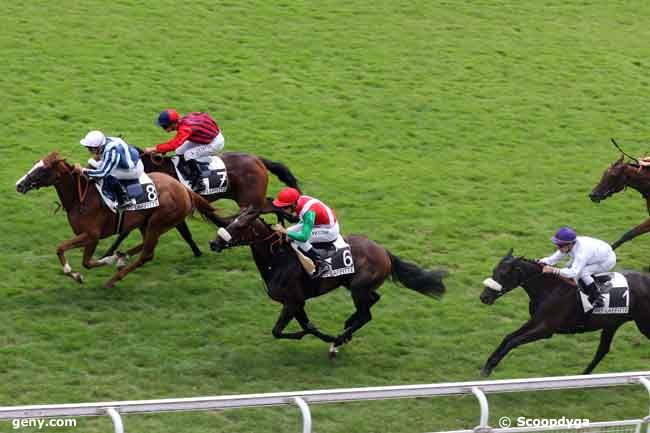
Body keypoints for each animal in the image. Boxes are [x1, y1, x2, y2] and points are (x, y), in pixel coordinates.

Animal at [15, 151, 228, 286]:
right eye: (35, 164)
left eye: (42, 170)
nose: (19, 184)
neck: (80, 198)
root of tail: (183, 188)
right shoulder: (87, 236)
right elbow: (64, 251)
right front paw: (81, 272)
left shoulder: (92, 235)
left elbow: (82, 260)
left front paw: (85, 271)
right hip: (146, 222)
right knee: (145, 245)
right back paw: (121, 257)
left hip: (158, 221)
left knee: (147, 254)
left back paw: (113, 279)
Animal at [102, 148, 302, 258]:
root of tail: (257, 159)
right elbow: (125, 232)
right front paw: (109, 253)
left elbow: (185, 233)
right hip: (245, 198)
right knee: (270, 203)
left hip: (249, 199)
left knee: (270, 206)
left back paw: (287, 223)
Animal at [208, 218, 446, 356]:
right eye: (231, 220)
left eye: (239, 226)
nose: (214, 243)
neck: (277, 259)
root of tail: (384, 252)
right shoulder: (296, 303)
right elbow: (306, 327)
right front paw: (321, 335)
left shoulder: (292, 301)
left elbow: (278, 331)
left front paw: (331, 339)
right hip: (354, 285)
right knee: (372, 301)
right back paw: (347, 327)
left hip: (358, 288)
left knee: (366, 314)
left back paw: (341, 337)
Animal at [476, 250, 648, 374]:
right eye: (494, 271)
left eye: (504, 274)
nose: (484, 297)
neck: (550, 289)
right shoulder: (535, 320)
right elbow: (508, 337)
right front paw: (489, 364)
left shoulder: (547, 329)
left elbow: (514, 341)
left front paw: (489, 367)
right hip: (612, 323)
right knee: (602, 350)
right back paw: (583, 375)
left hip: (643, 324)